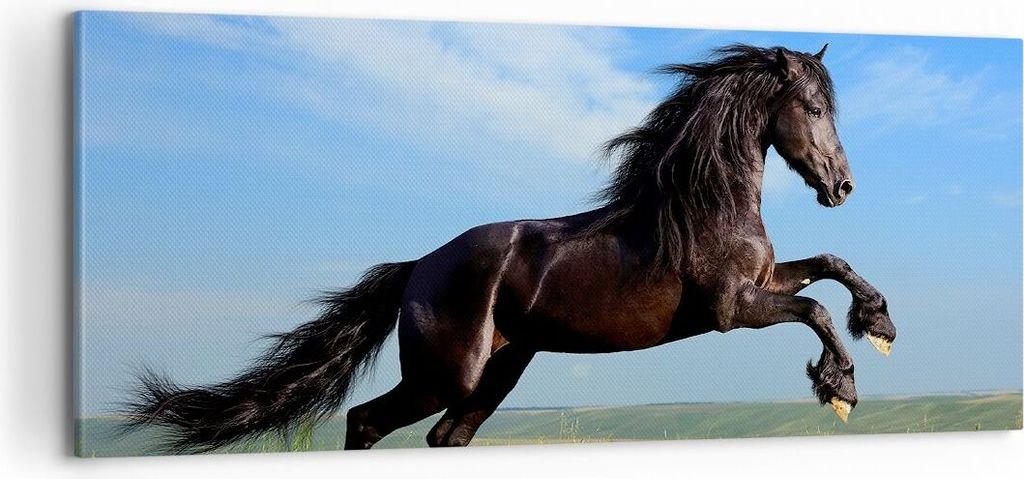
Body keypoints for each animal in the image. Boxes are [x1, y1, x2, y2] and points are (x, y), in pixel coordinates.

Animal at [125, 44, 897, 452]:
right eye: (815, 108)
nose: (843, 185)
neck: (703, 205)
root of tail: (417, 268)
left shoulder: (764, 281)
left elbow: (830, 266)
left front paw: (880, 323)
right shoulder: (732, 308)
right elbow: (813, 309)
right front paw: (841, 387)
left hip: (496, 373)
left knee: (444, 437)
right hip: (446, 375)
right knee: (367, 418)